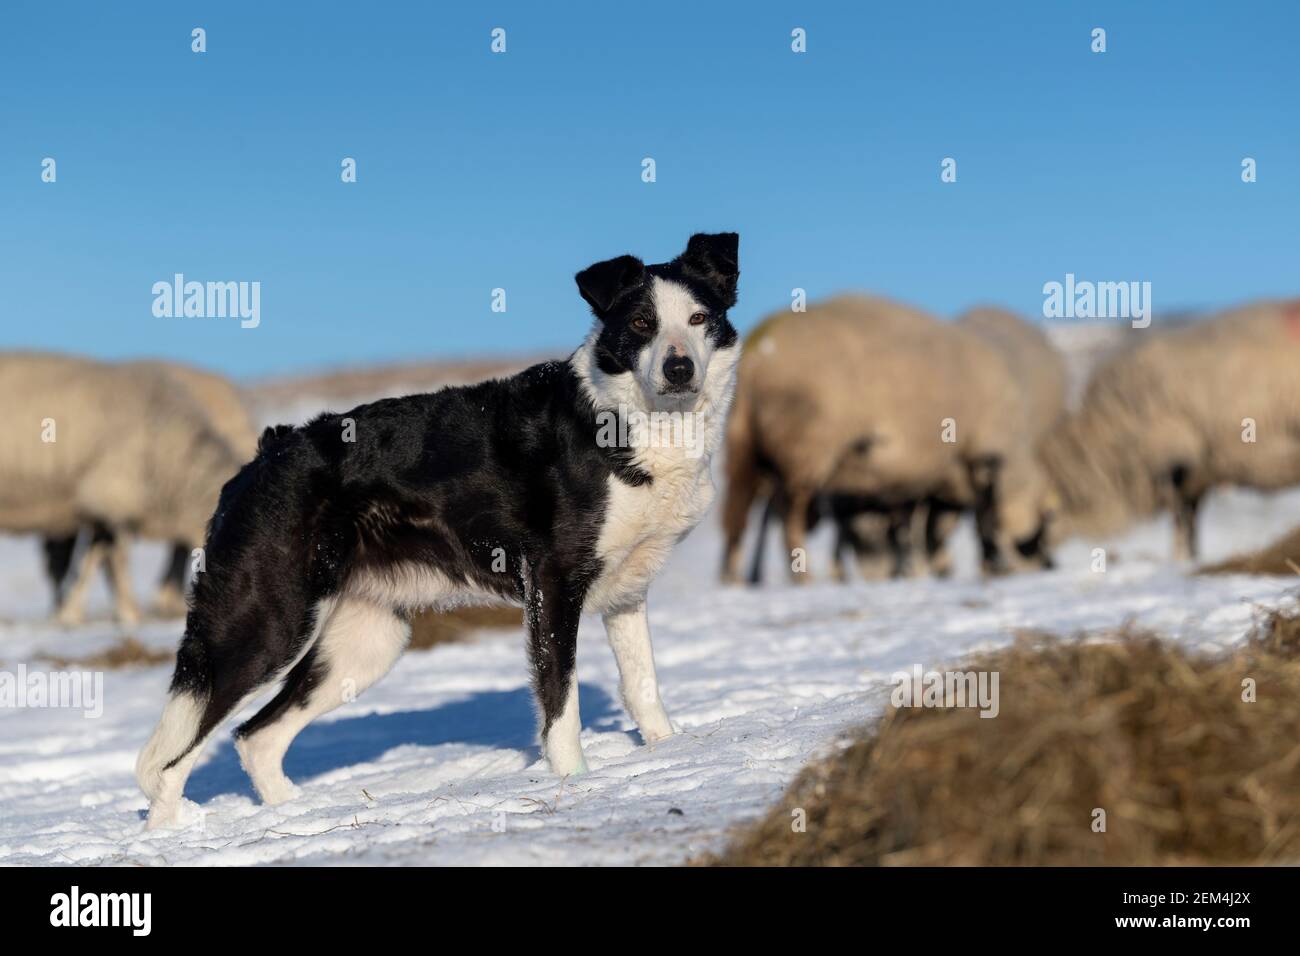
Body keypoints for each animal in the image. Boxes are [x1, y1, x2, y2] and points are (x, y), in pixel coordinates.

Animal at [0, 353, 245, 629]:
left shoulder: (103, 508)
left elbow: (92, 561)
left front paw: (72, 613)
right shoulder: (113, 496)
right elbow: (116, 561)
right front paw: (130, 614)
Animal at [722, 295, 1034, 582]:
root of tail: (757, 357)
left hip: (744, 447)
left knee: (737, 520)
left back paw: (735, 580)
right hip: (802, 455)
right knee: (788, 521)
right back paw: (804, 577)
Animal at [1040, 300, 1300, 561]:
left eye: (1049, 514)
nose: (1042, 558)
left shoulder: (1176, 465)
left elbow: (1182, 518)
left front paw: (1182, 559)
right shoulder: (1194, 472)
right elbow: (1187, 518)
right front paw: (1187, 558)